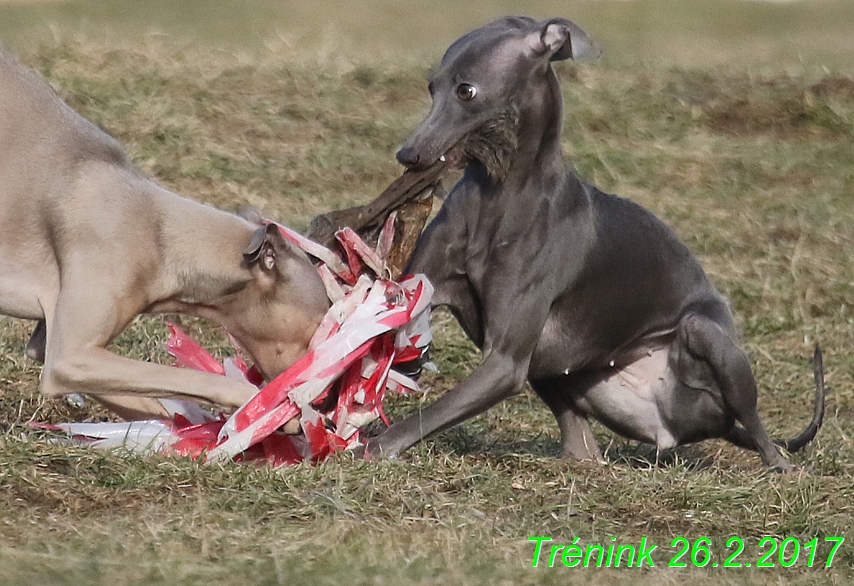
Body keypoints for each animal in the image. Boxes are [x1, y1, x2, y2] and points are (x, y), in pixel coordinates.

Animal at [364, 16, 824, 468]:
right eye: (431, 86)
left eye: (466, 90)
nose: (408, 155)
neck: (498, 200)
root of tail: (686, 429)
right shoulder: (422, 286)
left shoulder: (505, 363)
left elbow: (431, 412)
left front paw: (375, 446)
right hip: (559, 373)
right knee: (584, 446)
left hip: (706, 336)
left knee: (761, 430)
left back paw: (783, 466)